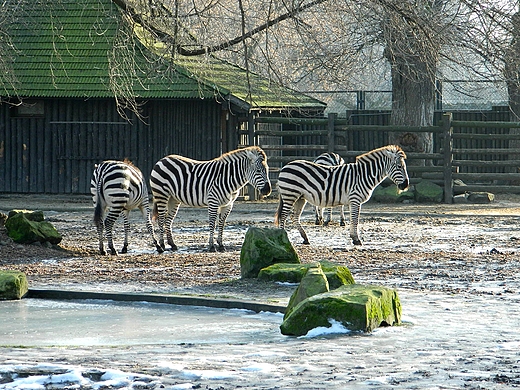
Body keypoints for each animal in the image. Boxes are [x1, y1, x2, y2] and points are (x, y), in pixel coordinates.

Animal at [274, 145, 408, 245]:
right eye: (399, 166)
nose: (406, 185)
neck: (364, 175)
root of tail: (285, 166)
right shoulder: (355, 199)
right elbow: (355, 219)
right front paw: (356, 239)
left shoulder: (352, 200)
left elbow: (353, 219)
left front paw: (353, 237)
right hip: (290, 195)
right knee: (283, 216)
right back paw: (282, 239)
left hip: (300, 197)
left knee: (294, 216)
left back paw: (305, 238)